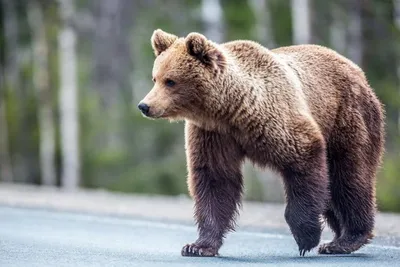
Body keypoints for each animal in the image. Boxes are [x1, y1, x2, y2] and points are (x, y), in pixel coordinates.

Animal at [137, 28, 384, 258]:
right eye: (155, 78)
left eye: (170, 81)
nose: (144, 105)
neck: (230, 110)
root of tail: (358, 71)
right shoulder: (213, 134)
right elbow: (214, 179)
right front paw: (198, 246)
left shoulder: (277, 120)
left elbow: (304, 158)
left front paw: (306, 237)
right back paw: (337, 239)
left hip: (348, 118)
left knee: (348, 177)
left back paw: (348, 238)